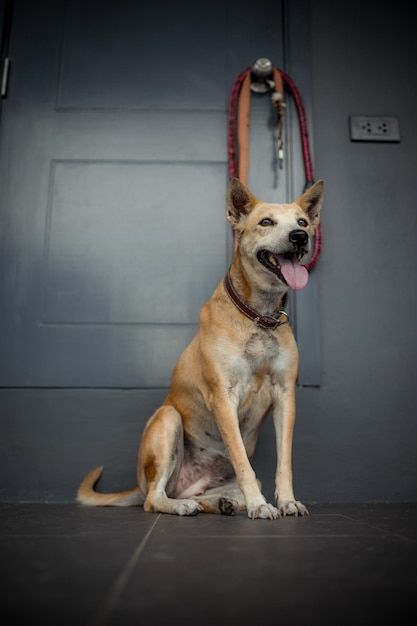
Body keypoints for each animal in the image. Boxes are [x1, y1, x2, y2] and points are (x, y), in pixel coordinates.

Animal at [76, 176, 324, 516]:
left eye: (302, 222)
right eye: (266, 222)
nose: (300, 237)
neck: (258, 316)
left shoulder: (286, 397)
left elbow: (283, 462)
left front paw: (286, 501)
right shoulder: (223, 397)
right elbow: (242, 461)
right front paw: (259, 506)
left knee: (202, 495)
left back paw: (223, 502)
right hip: (168, 421)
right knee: (154, 499)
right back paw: (184, 505)